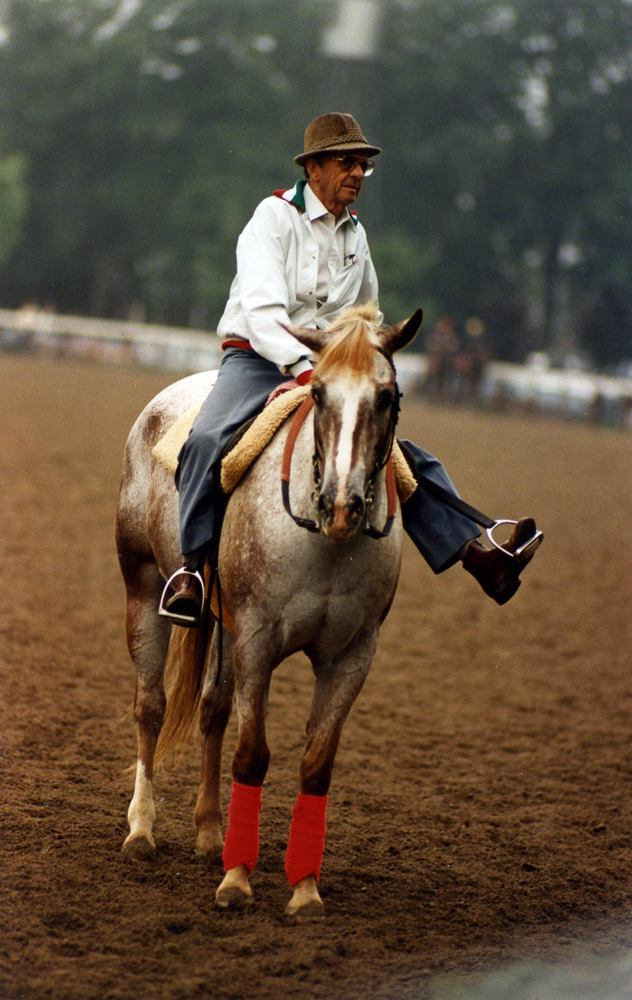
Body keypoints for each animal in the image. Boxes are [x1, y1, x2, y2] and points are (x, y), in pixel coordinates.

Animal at [116, 304, 422, 920]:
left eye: (386, 396)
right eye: (319, 392)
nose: (341, 504)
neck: (324, 540)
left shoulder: (351, 657)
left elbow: (316, 764)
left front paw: (304, 889)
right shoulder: (258, 638)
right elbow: (252, 754)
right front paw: (237, 883)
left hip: (224, 629)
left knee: (211, 709)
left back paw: (210, 833)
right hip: (144, 589)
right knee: (151, 707)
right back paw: (141, 831)